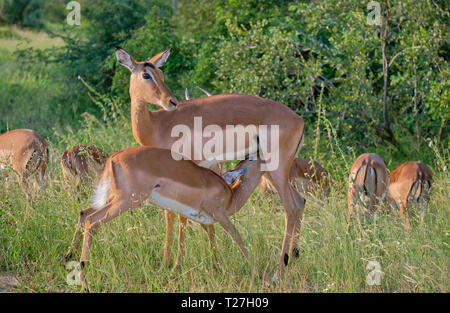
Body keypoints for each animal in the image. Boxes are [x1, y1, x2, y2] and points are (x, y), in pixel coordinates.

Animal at [65, 146, 266, 290]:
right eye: (251, 157)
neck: (231, 195)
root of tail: (114, 157)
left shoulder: (202, 219)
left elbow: (211, 239)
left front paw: (217, 268)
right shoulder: (219, 214)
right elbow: (237, 237)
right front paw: (259, 273)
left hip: (112, 198)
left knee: (84, 214)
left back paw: (69, 257)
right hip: (125, 202)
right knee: (92, 221)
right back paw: (84, 281)